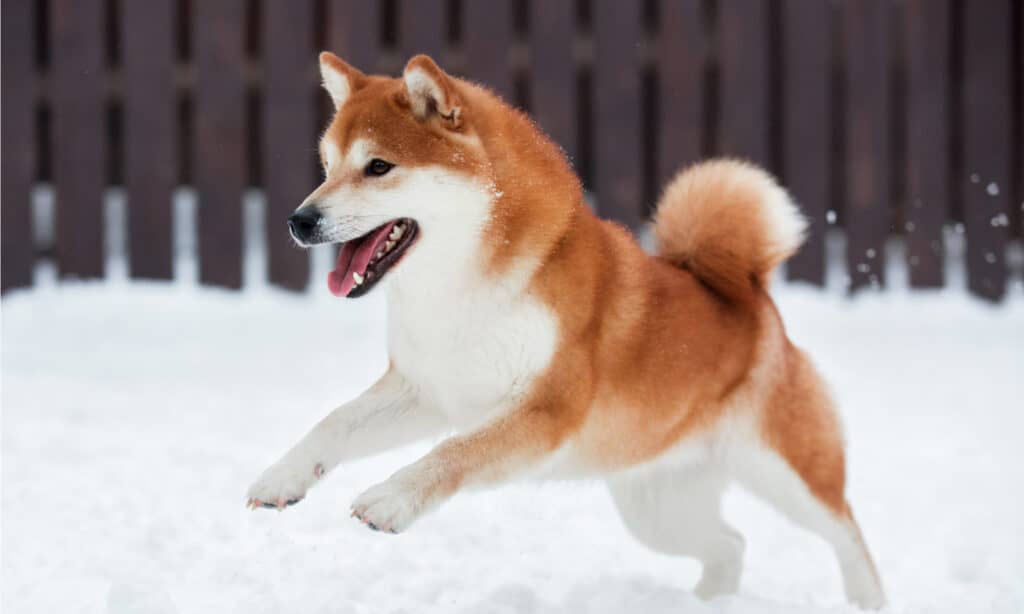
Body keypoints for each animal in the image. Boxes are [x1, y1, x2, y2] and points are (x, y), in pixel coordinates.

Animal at [243, 52, 884, 609]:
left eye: (378, 167)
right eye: (327, 167)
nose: (299, 220)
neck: (462, 287)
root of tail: (749, 293)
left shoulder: (548, 410)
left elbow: (454, 452)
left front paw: (391, 498)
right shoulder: (429, 389)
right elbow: (335, 422)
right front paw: (283, 475)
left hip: (786, 473)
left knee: (847, 531)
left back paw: (867, 599)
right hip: (655, 506)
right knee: (730, 546)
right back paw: (706, 602)